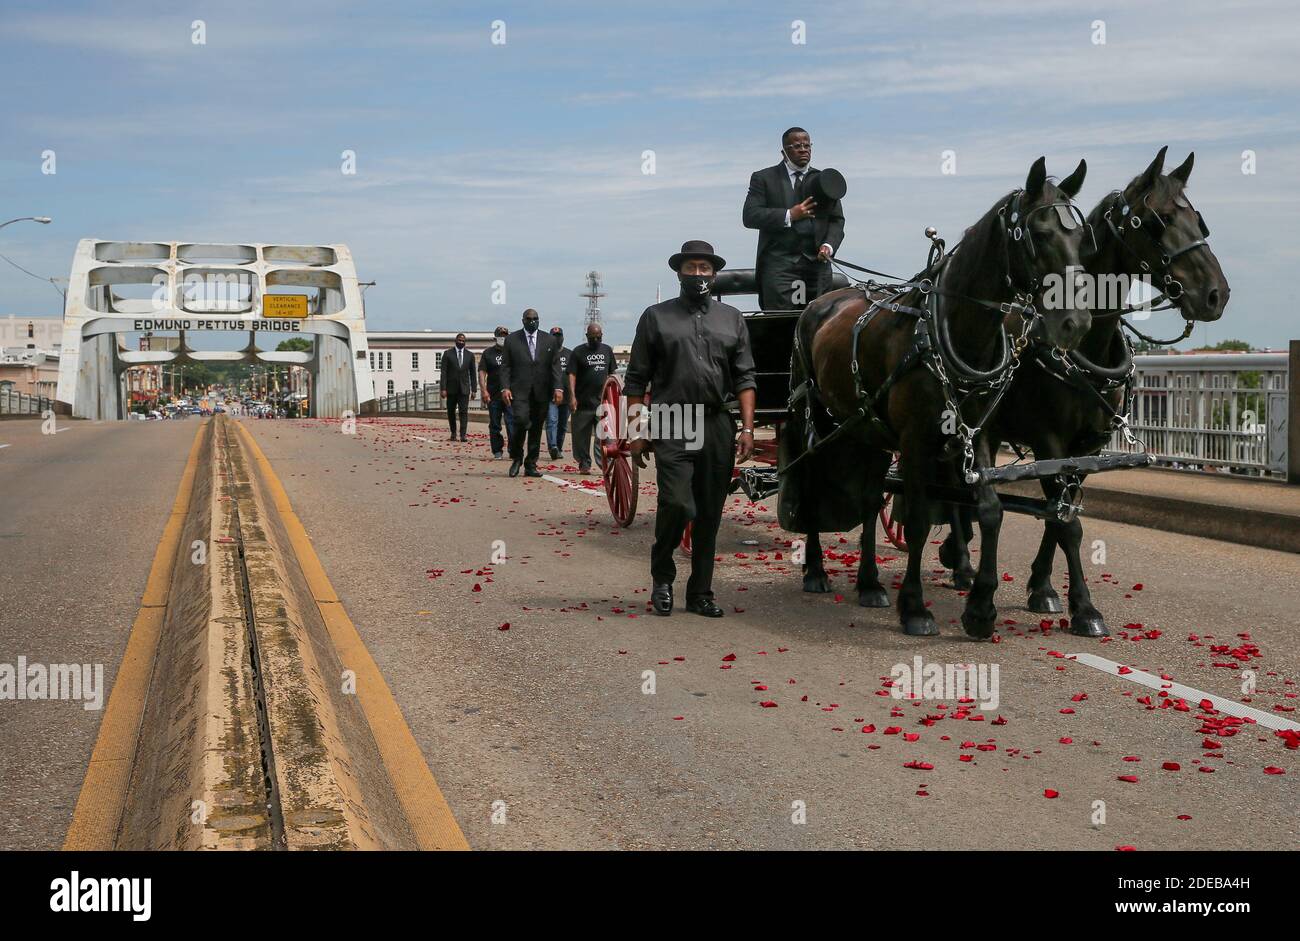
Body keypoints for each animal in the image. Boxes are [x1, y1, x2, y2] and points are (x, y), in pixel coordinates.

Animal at [780, 157, 1097, 636]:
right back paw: (816, 569)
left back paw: (869, 583)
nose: (1075, 323)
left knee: (869, 500)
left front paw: (980, 608)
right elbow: (916, 521)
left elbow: (989, 510)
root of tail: (820, 303)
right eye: (1040, 234)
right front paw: (915, 607)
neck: (954, 329)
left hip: (866, 428)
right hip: (814, 415)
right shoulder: (915, 439)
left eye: (1081, 238)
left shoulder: (977, 432)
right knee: (813, 475)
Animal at [935, 146, 1227, 636]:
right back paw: (959, 562)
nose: (1216, 295)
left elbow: (1062, 515)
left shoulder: (1086, 447)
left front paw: (1043, 588)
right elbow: (1064, 522)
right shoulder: (1050, 440)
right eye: (1161, 220)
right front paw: (1084, 608)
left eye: (1199, 220)